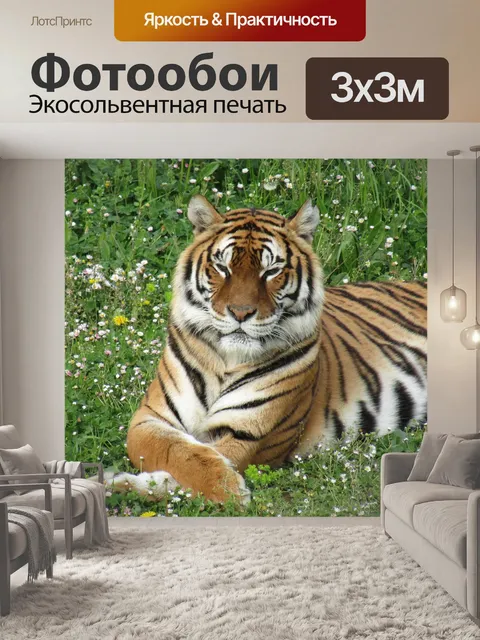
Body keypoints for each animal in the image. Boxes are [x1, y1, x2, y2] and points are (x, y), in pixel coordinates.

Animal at [115, 195, 427, 503]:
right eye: (223, 268)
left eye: (271, 271)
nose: (240, 313)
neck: (227, 360)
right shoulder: (148, 418)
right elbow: (180, 453)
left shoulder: (249, 432)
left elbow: (200, 463)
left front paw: (224, 489)